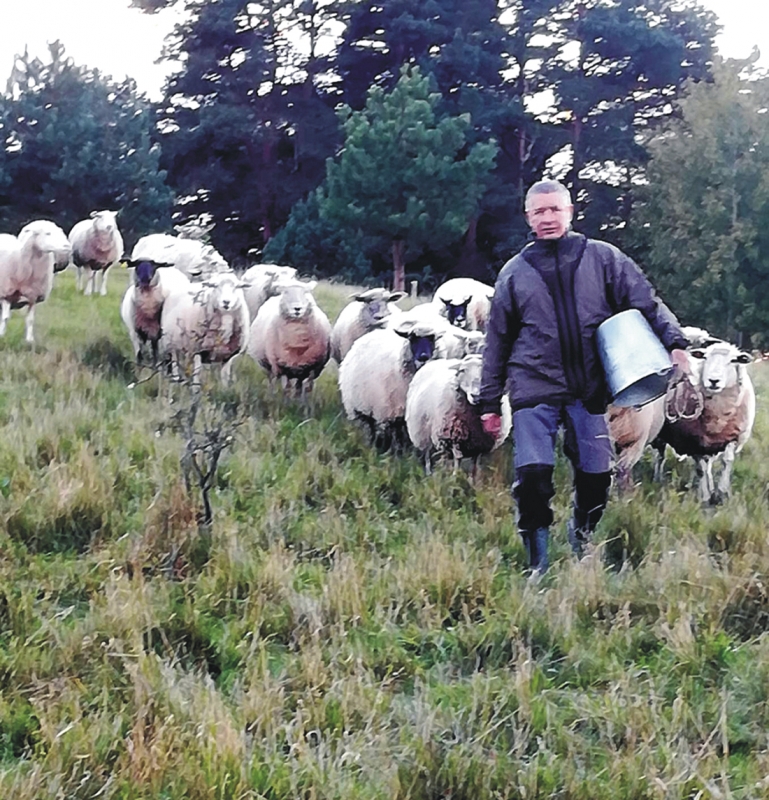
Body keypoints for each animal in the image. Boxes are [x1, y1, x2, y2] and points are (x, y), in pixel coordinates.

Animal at [338, 322, 444, 454]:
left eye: (431, 339)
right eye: (412, 339)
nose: (423, 357)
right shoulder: (391, 412)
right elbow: (397, 434)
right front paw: (398, 453)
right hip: (360, 406)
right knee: (370, 427)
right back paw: (372, 445)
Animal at [652, 340, 752, 504]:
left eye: (733, 360)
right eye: (705, 357)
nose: (713, 381)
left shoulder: (732, 436)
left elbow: (727, 461)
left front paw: (721, 493)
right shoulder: (694, 440)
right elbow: (700, 469)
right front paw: (705, 497)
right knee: (660, 456)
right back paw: (657, 479)